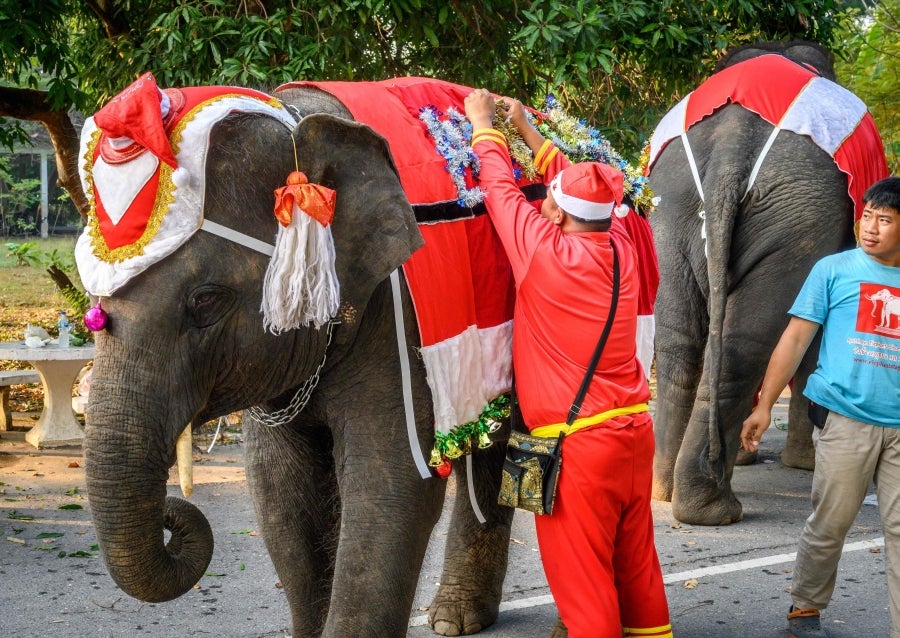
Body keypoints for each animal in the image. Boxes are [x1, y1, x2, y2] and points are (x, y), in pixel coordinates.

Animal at [76, 76, 521, 638]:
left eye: (205, 300)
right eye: (95, 305)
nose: (172, 513)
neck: (300, 122)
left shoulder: (399, 321)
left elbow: (391, 488)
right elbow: (281, 495)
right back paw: (455, 619)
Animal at [646, 41, 889, 525]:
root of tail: (731, 145)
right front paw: (803, 465)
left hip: (671, 209)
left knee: (682, 339)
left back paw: (665, 492)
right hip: (796, 219)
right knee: (746, 345)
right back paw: (714, 509)